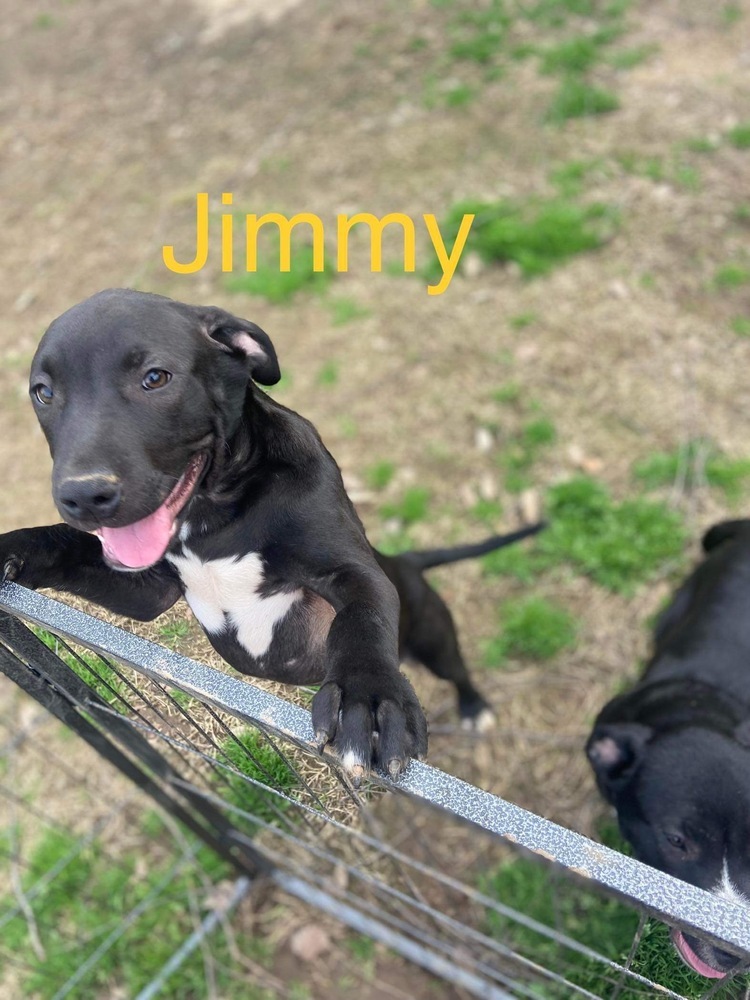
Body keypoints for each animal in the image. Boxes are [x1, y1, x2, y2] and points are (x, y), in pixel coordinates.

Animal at [0, 290, 544, 780]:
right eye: (43, 392)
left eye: (155, 377)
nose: (82, 495)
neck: (212, 518)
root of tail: (407, 558)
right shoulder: (148, 590)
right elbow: (65, 544)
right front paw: (14, 547)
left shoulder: (349, 572)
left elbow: (362, 619)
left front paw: (366, 699)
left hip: (432, 631)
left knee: (457, 669)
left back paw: (473, 707)